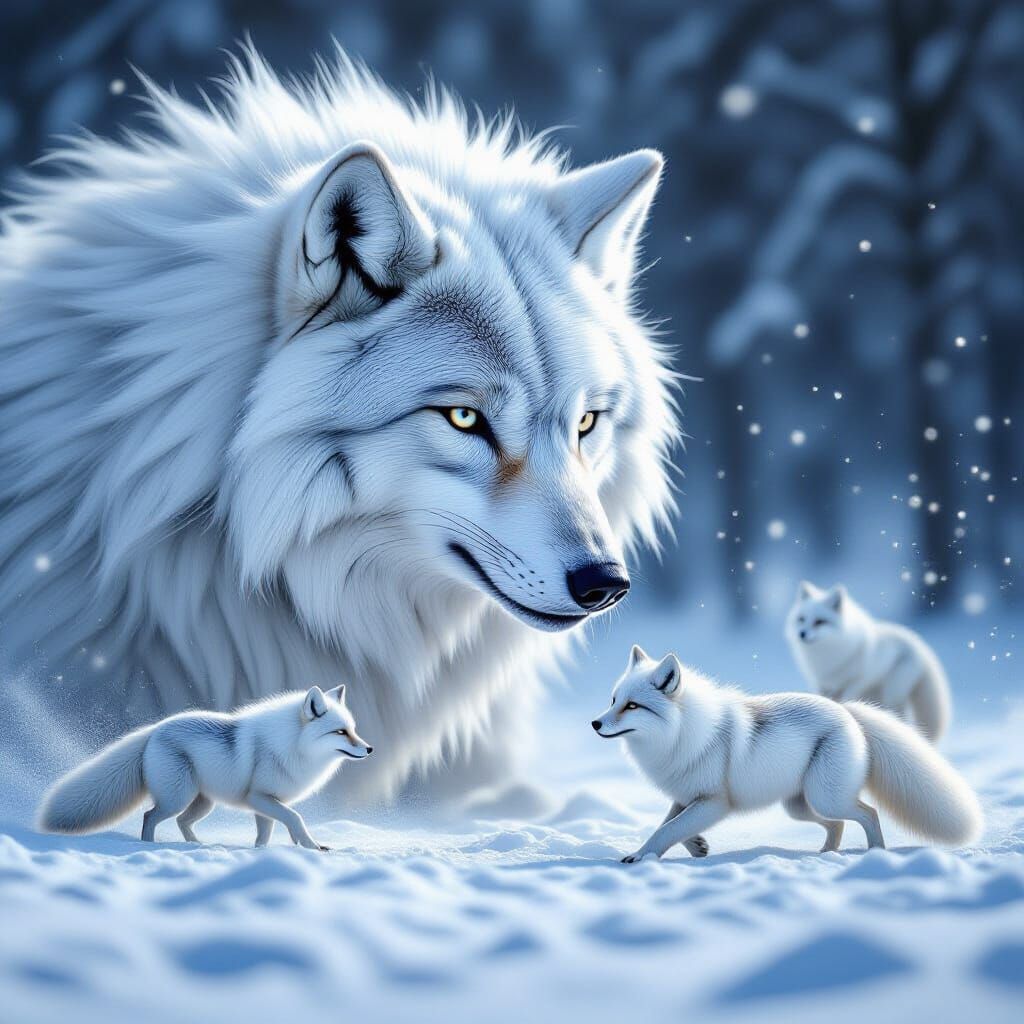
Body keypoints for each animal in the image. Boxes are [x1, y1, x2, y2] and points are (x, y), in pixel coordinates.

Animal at [38, 684, 371, 847]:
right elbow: (296, 818)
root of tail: (155, 729)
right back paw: (149, 847)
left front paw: (265, 855)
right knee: (150, 816)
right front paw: (312, 846)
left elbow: (266, 835)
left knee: (181, 822)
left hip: (202, 803)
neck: (292, 744)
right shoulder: (261, 798)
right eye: (340, 732)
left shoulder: (265, 805)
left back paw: (197, 846)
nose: (369, 749)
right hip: (178, 797)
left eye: (354, 729)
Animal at [592, 646, 981, 862]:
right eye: (613, 700)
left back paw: (875, 854)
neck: (684, 732)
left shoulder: (714, 802)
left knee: (868, 813)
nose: (595, 723)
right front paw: (698, 848)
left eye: (632, 706)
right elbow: (670, 827)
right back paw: (826, 855)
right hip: (799, 806)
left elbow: (667, 831)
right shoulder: (687, 797)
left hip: (825, 797)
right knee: (839, 824)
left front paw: (639, 858)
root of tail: (848, 711)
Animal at [785, 582, 952, 742]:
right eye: (801, 619)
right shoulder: (822, 683)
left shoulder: (856, 681)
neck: (825, 653)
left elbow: (845, 698)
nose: (802, 634)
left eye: (819, 622)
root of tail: (917, 641)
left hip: (892, 693)